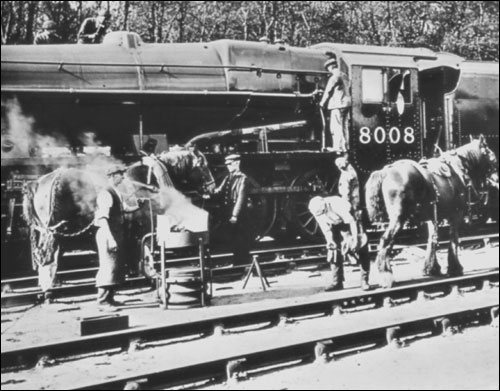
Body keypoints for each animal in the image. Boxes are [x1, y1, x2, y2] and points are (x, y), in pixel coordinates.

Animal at [23, 147, 215, 294]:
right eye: (203, 165)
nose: (212, 187)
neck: (150, 183)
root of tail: (38, 182)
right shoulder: (144, 230)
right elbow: (144, 256)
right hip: (53, 233)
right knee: (49, 256)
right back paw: (50, 287)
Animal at [366, 136, 498, 290]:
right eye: (492, 158)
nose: (496, 179)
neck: (458, 169)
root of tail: (385, 172)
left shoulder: (433, 217)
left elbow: (432, 239)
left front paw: (431, 268)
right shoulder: (456, 214)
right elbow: (453, 239)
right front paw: (455, 268)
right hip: (399, 218)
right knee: (386, 241)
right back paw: (386, 276)